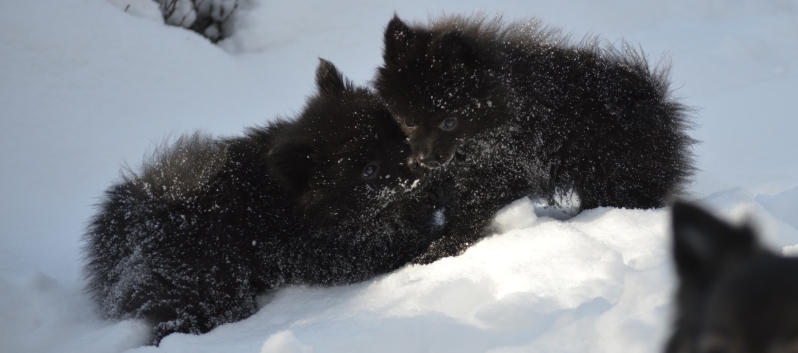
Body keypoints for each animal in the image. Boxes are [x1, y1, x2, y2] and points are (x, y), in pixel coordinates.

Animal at [84, 59, 440, 342]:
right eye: (369, 170)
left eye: (395, 135)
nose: (416, 164)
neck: (295, 203)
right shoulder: (333, 253)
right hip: (212, 286)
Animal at [378, 13, 696, 262]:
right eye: (408, 121)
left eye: (449, 121)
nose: (426, 158)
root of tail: (651, 97)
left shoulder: (505, 165)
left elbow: (473, 209)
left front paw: (441, 249)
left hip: (618, 172)